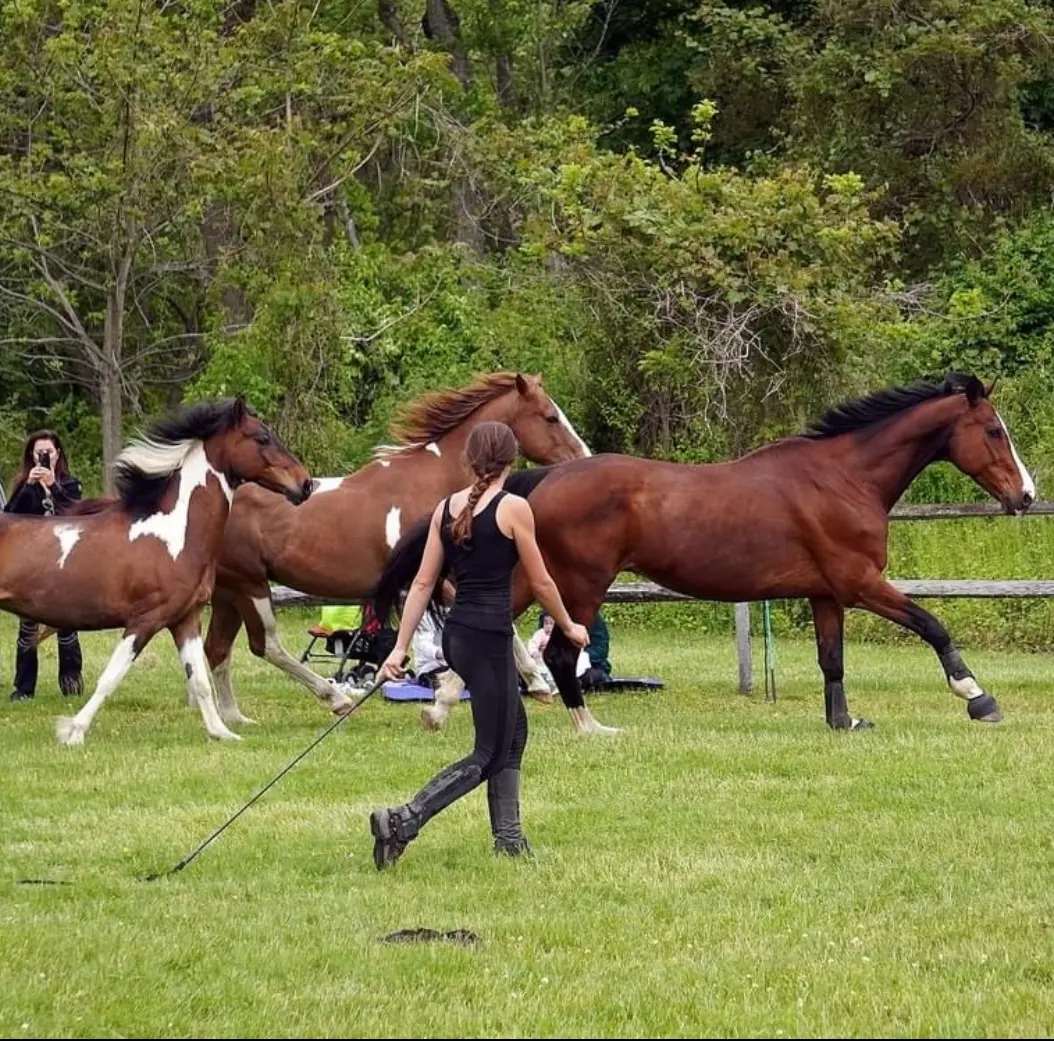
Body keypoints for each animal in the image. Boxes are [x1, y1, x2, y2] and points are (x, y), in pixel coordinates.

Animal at [0, 394, 311, 745]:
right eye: (261, 438)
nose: (305, 484)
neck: (175, 534)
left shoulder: (185, 619)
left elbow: (199, 681)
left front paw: (222, 733)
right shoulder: (145, 620)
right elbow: (110, 677)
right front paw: (73, 733)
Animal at [199, 372, 594, 724]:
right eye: (550, 417)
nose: (584, 457)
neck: (436, 483)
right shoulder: (434, 579)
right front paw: (533, 684)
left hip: (228, 592)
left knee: (217, 649)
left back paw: (234, 718)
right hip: (249, 585)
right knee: (265, 645)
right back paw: (336, 699)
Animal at [371, 375, 1037, 733]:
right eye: (994, 431)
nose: (1026, 495)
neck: (845, 479)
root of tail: (545, 478)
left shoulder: (826, 593)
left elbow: (832, 661)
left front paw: (844, 721)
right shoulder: (860, 582)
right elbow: (933, 624)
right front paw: (978, 698)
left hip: (538, 579)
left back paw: (441, 709)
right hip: (579, 585)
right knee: (558, 654)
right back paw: (588, 725)